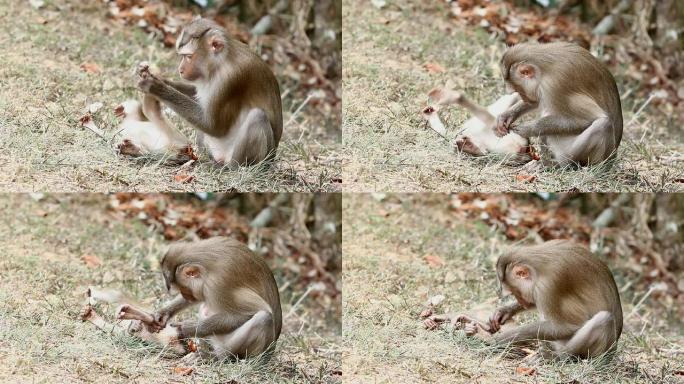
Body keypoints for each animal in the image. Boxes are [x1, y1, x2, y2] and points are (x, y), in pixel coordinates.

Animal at [136, 18, 284, 168]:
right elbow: (198, 98)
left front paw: (155, 87)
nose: (180, 70)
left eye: (188, 57)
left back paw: (233, 167)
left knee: (257, 116)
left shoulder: (231, 79)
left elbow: (213, 125)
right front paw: (156, 77)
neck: (221, 62)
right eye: (182, 56)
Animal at [151, 237, 282, 360]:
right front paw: (164, 313)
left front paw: (186, 328)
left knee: (264, 318)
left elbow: (248, 313)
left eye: (184, 288)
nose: (186, 296)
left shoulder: (217, 283)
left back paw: (219, 357)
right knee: (205, 308)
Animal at [480, 240, 620, 360]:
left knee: (604, 318)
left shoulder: (549, 285)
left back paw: (558, 356)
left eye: (515, 292)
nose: (522, 302)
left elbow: (567, 327)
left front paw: (501, 338)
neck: (538, 266)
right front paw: (505, 311)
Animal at [494, 42, 624, 166]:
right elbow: (537, 101)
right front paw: (506, 116)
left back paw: (560, 164)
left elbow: (587, 120)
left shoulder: (555, 85)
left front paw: (528, 128)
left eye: (518, 90)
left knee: (603, 124)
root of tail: (612, 158)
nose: (523, 97)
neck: (543, 69)